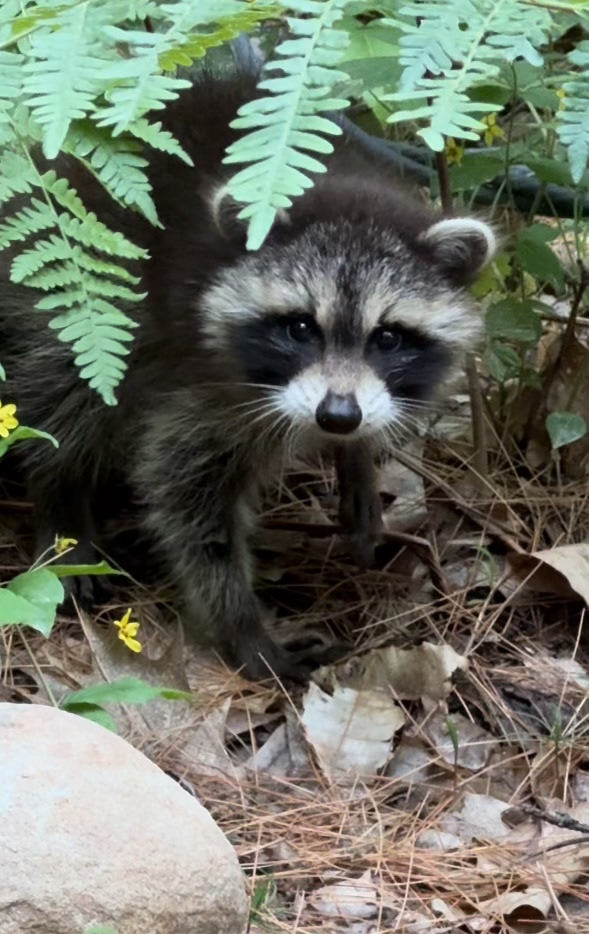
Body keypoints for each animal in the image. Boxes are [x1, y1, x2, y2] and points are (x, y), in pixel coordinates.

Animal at [0, 70, 496, 680]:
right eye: (300, 327)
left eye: (388, 337)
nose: (338, 416)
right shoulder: (206, 381)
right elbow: (188, 497)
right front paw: (244, 627)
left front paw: (357, 458)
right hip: (83, 293)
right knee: (66, 394)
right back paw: (62, 503)